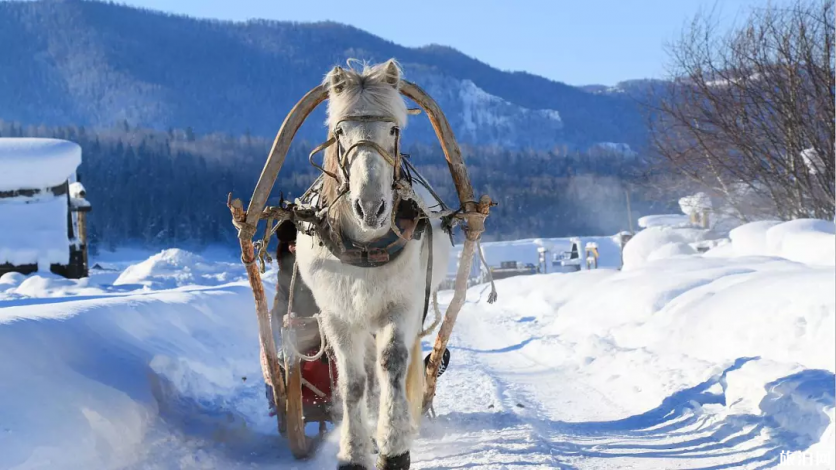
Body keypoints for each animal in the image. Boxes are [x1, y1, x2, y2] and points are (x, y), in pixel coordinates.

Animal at [294, 59, 450, 470]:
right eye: (340, 131)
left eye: (393, 129)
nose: (371, 208)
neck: (364, 246)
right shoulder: (338, 315)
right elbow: (352, 382)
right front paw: (353, 451)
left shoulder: (402, 306)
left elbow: (392, 366)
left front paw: (393, 446)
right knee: (365, 371)